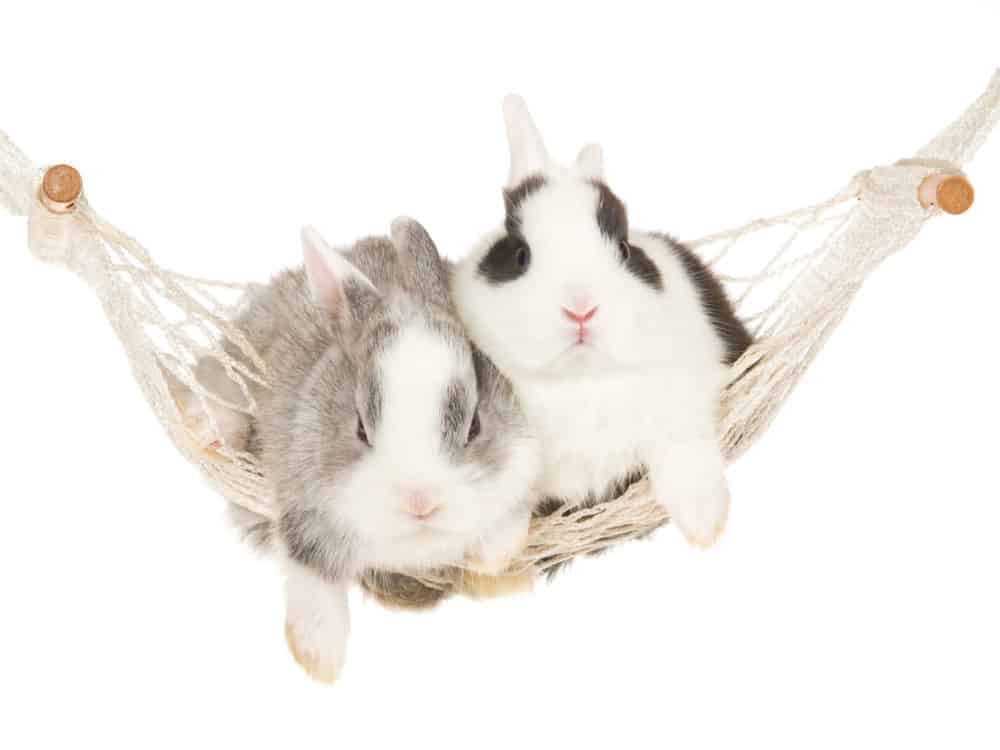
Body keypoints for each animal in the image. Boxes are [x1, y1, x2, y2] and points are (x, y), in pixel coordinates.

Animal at [170, 217, 540, 680]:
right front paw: (318, 658)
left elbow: (506, 523)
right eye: (361, 428)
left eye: (474, 425)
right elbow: (312, 573)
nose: (420, 503)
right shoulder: (304, 509)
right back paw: (210, 430)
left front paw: (488, 563)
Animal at [450, 97, 752, 548]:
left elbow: (685, 454)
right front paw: (495, 551)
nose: (581, 309)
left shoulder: (689, 399)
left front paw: (704, 522)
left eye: (624, 249)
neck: (581, 381)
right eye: (520, 255)